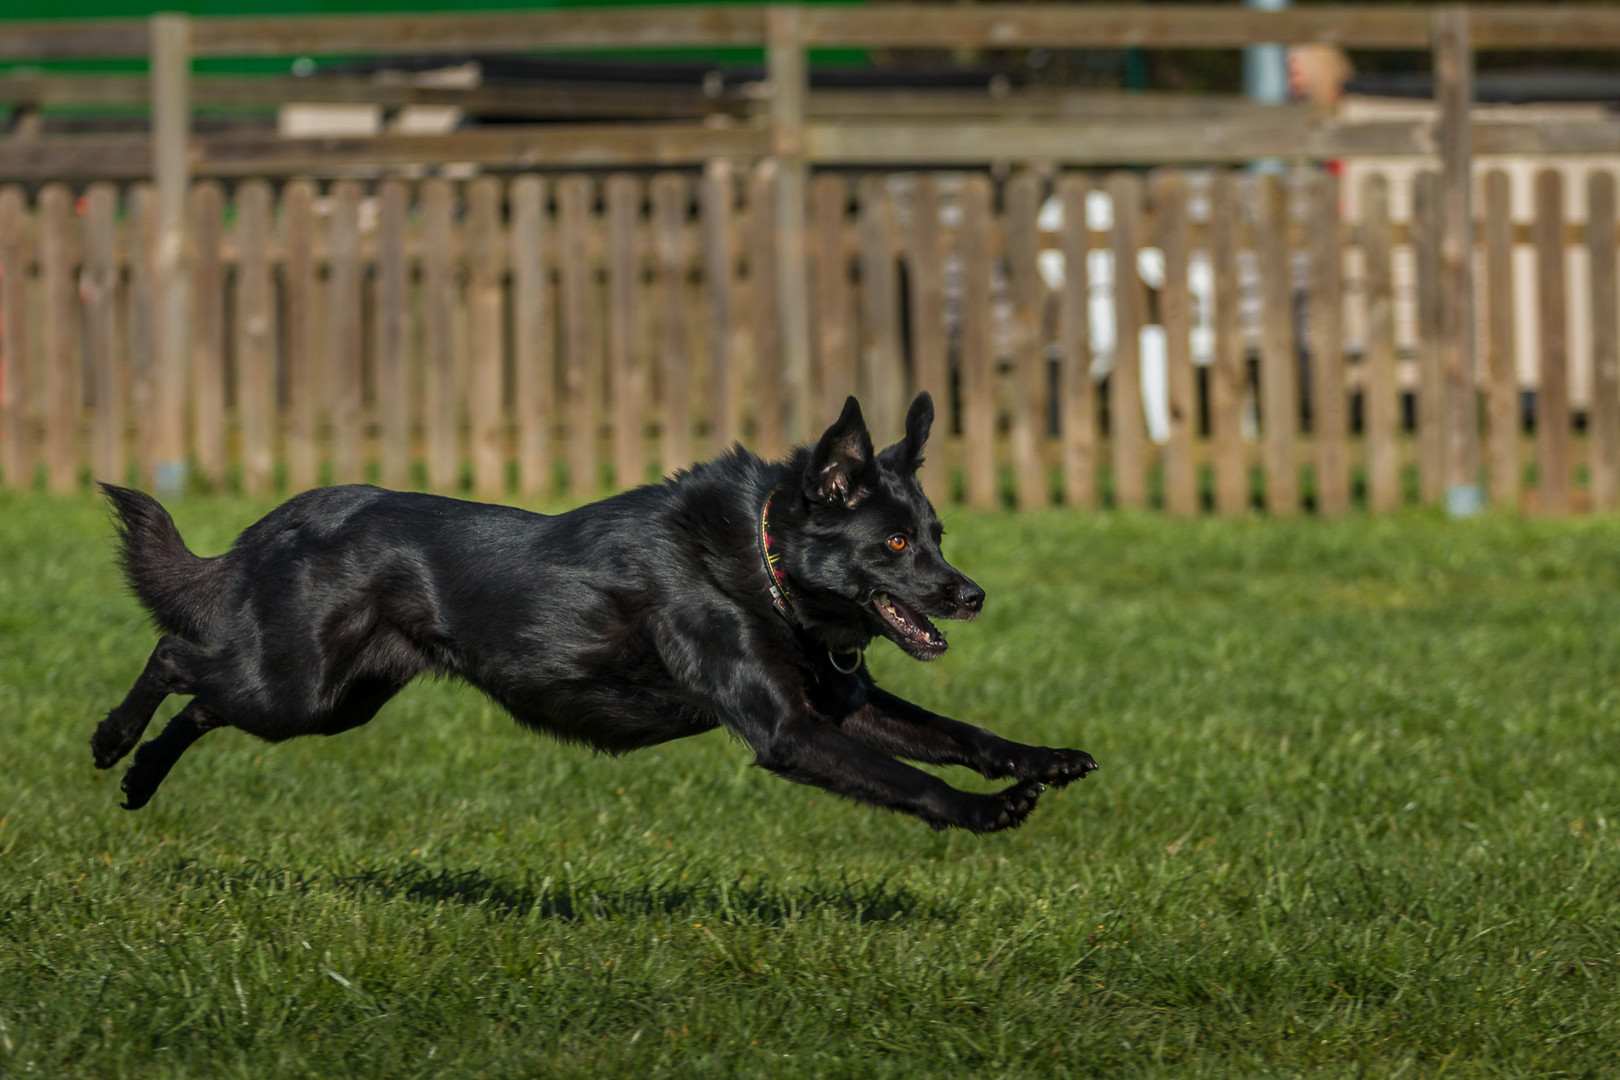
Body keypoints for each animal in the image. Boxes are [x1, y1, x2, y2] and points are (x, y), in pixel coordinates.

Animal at [91, 393, 1101, 835]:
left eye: (935, 534)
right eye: (892, 544)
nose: (970, 595)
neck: (761, 564)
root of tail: (290, 514)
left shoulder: (840, 704)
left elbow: (962, 733)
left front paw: (1045, 761)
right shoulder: (790, 732)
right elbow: (912, 780)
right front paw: (985, 813)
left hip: (336, 703)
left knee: (204, 699)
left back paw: (140, 780)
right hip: (296, 687)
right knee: (176, 655)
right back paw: (112, 743)